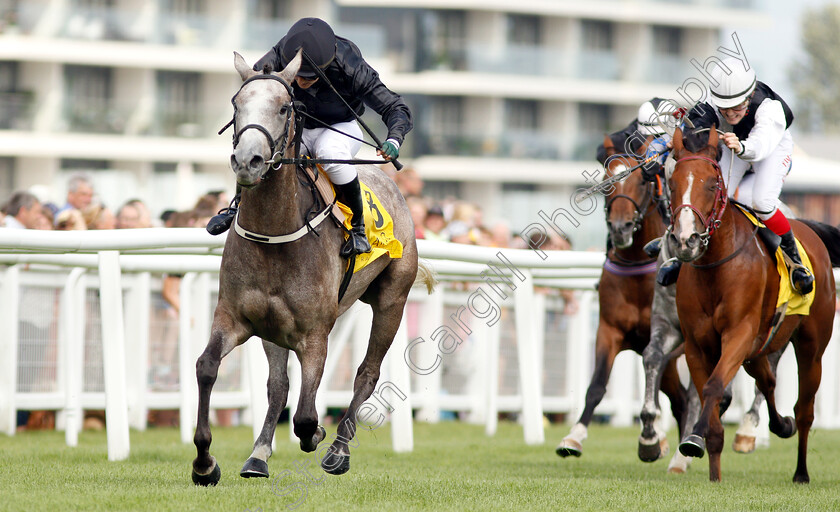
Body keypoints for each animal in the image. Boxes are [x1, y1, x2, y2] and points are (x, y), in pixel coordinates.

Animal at [189, 50, 434, 486]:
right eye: (236, 104)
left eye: (284, 107)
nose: (248, 161)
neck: (274, 232)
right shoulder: (236, 317)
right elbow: (208, 368)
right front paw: (205, 463)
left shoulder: (315, 333)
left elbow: (305, 416)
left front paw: (317, 433)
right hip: (273, 328)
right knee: (278, 386)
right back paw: (258, 456)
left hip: (393, 300)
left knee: (366, 374)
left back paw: (338, 451)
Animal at [556, 137, 688, 468]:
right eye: (607, 181)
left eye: (642, 180)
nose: (620, 228)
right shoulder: (608, 329)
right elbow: (596, 385)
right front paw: (573, 437)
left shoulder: (666, 340)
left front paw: (652, 438)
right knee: (680, 399)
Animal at [668, 126, 836, 482]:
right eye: (672, 183)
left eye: (712, 183)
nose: (686, 240)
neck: (716, 267)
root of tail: (808, 228)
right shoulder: (696, 345)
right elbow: (711, 396)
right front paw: (710, 467)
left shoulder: (738, 334)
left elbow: (714, 386)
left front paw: (694, 436)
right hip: (759, 349)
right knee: (768, 381)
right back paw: (779, 425)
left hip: (811, 347)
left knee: (805, 410)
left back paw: (801, 471)